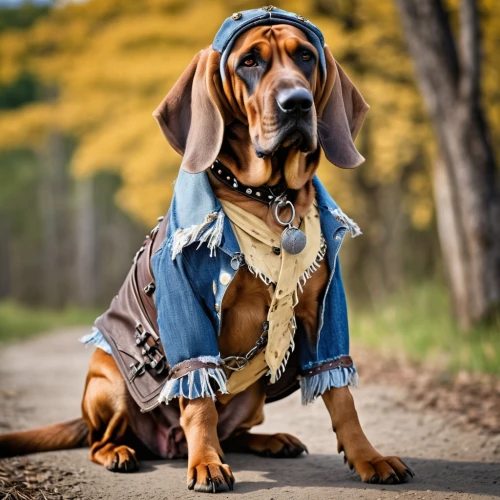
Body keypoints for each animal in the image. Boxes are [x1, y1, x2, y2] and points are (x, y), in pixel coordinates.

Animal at [0, 20, 414, 492]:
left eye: (306, 57)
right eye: (249, 62)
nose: (297, 103)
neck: (269, 199)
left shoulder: (322, 311)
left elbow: (341, 394)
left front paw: (369, 458)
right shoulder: (189, 312)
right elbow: (198, 399)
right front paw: (206, 464)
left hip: (253, 397)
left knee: (234, 432)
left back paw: (271, 441)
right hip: (111, 382)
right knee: (100, 439)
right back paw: (123, 452)